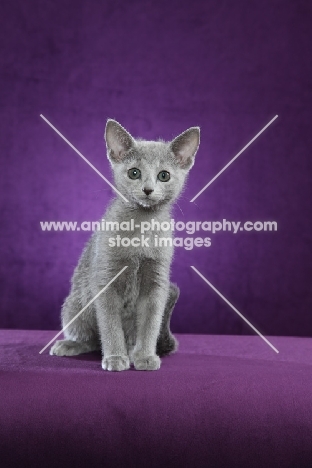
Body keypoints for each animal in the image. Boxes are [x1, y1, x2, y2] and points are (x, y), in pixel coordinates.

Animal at [48, 119, 200, 372]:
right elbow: (109, 324)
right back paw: (70, 345)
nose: (148, 189)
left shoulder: (156, 283)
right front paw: (115, 357)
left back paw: (132, 351)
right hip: (74, 307)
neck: (141, 227)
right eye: (134, 172)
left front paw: (145, 356)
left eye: (164, 175)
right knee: (90, 338)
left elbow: (150, 323)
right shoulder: (106, 279)